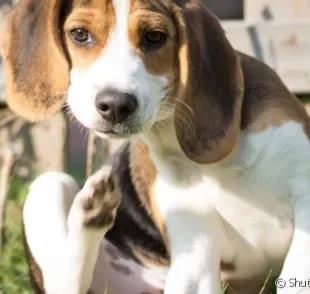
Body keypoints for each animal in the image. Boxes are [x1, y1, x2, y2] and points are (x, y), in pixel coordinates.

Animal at [0, 0, 310, 292]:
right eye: (79, 34)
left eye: (154, 37)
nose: (115, 104)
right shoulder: (194, 244)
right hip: (49, 185)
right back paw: (91, 212)